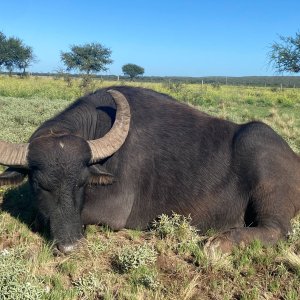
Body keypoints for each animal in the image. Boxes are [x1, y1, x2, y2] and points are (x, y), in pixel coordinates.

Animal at [0, 86, 300, 253]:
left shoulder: (114, 210)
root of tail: (293, 158)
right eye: (39, 185)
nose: (70, 245)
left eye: (82, 183)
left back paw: (218, 244)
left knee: (276, 229)